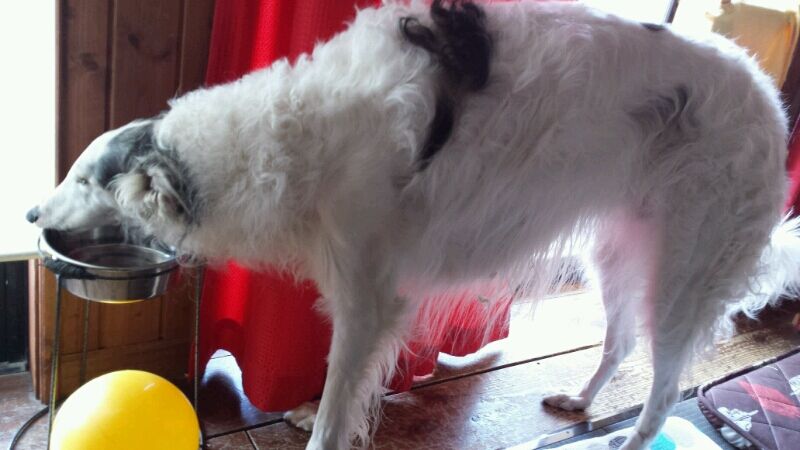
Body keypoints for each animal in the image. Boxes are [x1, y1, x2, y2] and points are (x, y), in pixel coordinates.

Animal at [28, 1, 800, 448]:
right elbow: (341, 388)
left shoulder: (371, 297)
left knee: (666, 388)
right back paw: (580, 400)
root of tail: (771, 105)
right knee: (620, 340)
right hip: (620, 247)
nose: (32, 212)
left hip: (684, 270)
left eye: (82, 178)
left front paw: (319, 424)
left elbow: (339, 402)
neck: (296, 134)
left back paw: (634, 436)